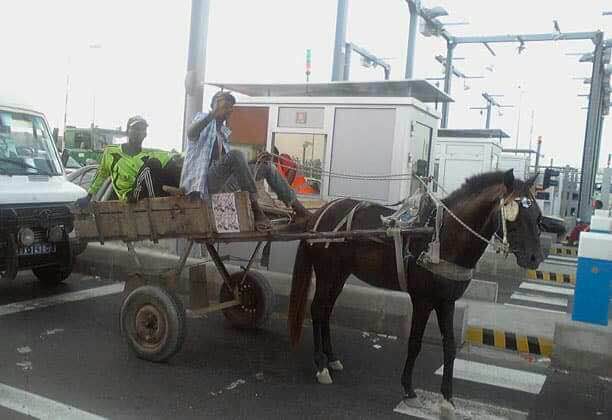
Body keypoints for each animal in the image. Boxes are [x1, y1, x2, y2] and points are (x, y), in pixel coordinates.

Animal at [286, 169, 540, 406]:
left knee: (326, 311)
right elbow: (415, 343)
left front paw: (447, 398)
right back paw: (321, 365)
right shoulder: (423, 300)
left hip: (339, 275)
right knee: (317, 310)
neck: (443, 238)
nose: (535, 257)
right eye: (514, 215)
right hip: (327, 273)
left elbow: (449, 346)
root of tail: (318, 215)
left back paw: (331, 358)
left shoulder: (447, 301)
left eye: (537, 215)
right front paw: (408, 389)